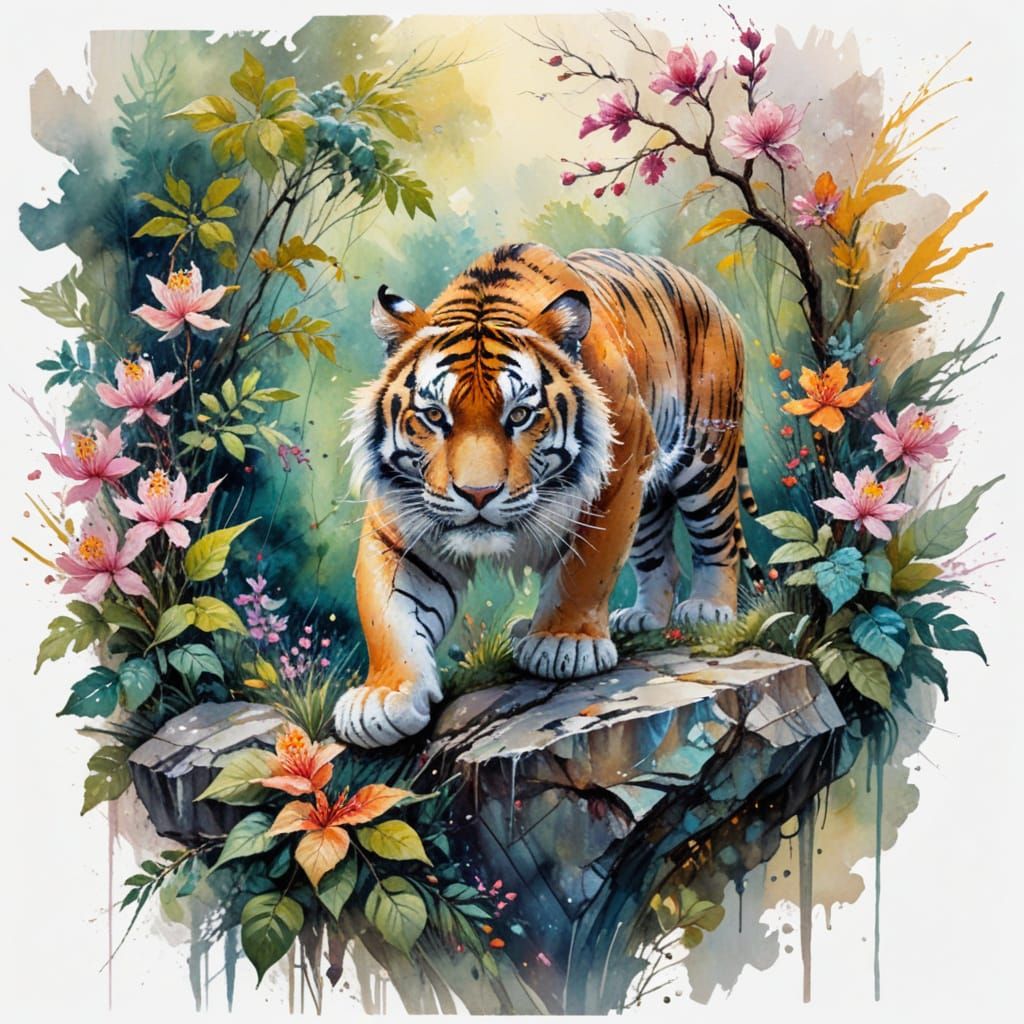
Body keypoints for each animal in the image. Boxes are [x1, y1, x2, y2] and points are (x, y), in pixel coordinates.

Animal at [334, 242, 751, 748]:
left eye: (520, 415)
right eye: (434, 416)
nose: (477, 494)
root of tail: (706, 292)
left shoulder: (617, 477)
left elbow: (585, 570)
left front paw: (563, 643)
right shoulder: (402, 521)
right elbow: (389, 613)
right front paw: (382, 697)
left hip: (705, 458)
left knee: (718, 539)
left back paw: (709, 609)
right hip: (650, 497)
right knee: (662, 559)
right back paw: (642, 618)